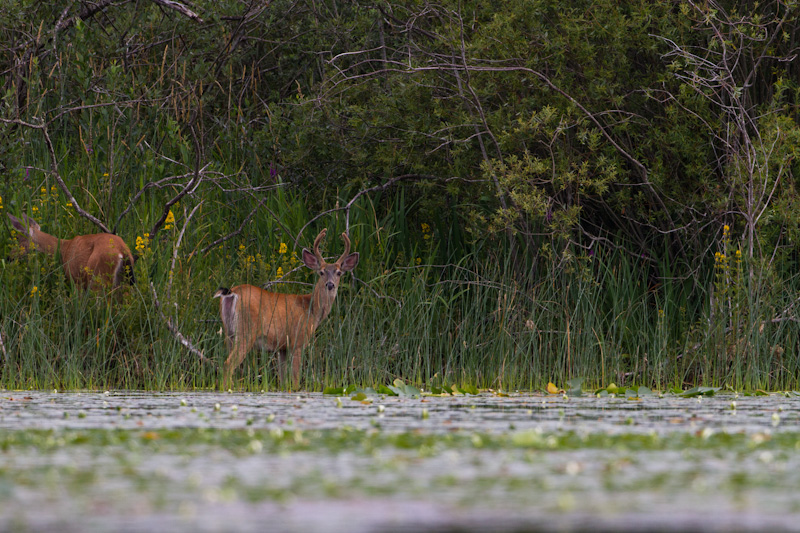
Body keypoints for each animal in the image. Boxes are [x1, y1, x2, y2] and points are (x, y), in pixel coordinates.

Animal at [216, 227, 360, 388]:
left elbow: (283, 379)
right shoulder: (298, 340)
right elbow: (295, 378)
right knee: (228, 364)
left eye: (339, 272)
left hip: (229, 332)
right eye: (321, 272)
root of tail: (232, 293)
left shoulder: (282, 347)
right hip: (246, 332)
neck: (311, 310)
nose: (330, 284)